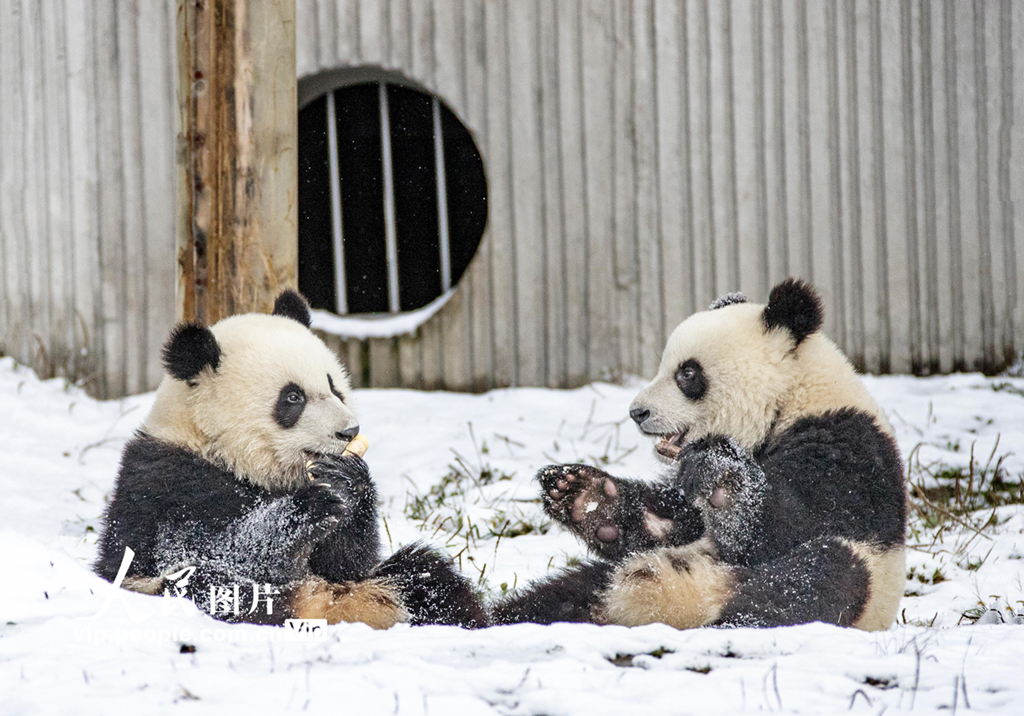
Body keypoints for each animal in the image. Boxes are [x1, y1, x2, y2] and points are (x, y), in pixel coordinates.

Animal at [94, 290, 485, 626]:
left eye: (334, 386)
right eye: (292, 397)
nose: (349, 431)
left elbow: (349, 563)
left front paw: (349, 480)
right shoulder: (168, 482)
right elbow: (210, 547)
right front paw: (310, 507)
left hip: (386, 587)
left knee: (427, 578)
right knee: (210, 584)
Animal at [495, 280, 905, 630]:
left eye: (688, 374)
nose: (637, 412)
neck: (793, 397)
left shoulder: (848, 447)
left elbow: (791, 523)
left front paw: (721, 477)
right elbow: (673, 523)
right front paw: (583, 494)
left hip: (864, 588)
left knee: (821, 576)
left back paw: (732, 624)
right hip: (602, 583)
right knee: (557, 597)